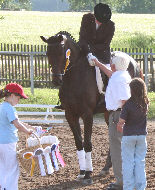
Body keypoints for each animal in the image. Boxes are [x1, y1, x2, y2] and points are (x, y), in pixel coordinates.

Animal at [40, 31, 143, 184]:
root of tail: (134, 62)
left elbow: (88, 143)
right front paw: (82, 172)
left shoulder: (87, 114)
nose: (56, 80)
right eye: (47, 53)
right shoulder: (70, 114)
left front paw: (88, 174)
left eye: (61, 53)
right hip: (108, 112)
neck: (74, 76)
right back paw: (106, 168)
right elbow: (79, 142)